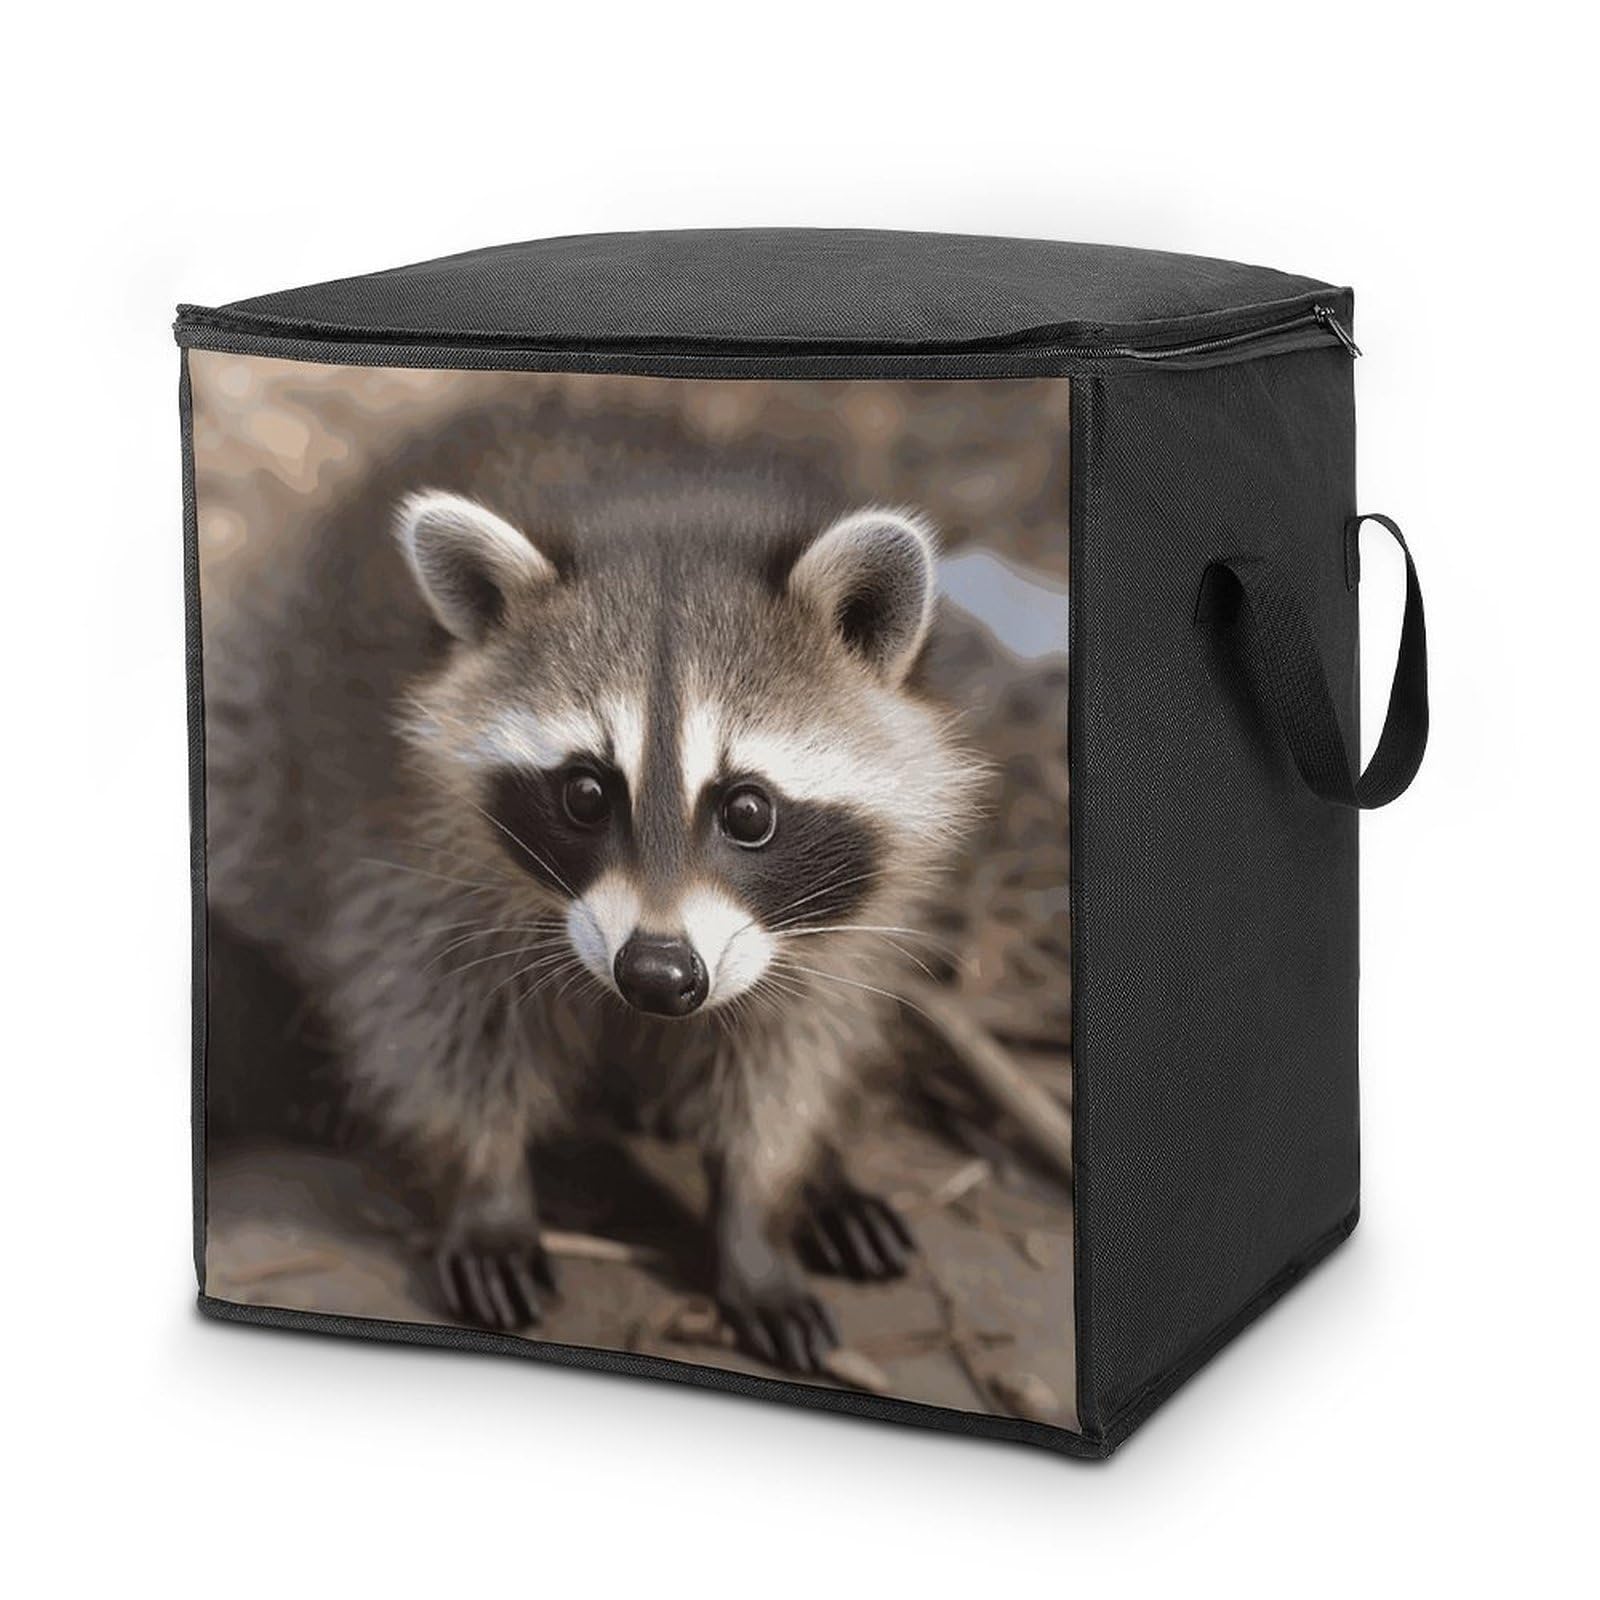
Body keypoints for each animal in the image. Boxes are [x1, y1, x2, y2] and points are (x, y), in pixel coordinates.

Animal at [203, 397, 984, 1372]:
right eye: (584, 793)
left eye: (749, 811)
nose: (655, 975)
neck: (670, 511)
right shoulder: (408, 850)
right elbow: (438, 1025)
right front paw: (487, 1189)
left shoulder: (830, 922)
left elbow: (785, 1056)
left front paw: (761, 1218)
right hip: (267, 734)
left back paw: (826, 1179)